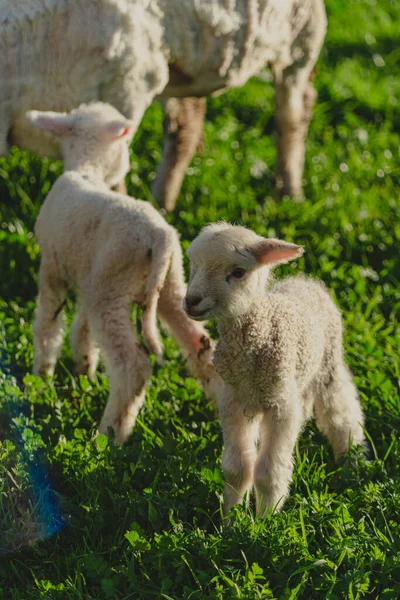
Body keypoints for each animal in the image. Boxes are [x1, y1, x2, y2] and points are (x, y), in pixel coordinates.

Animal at [0, 0, 324, 209]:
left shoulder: (127, 89)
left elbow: (114, 176)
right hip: (185, 61)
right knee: (185, 128)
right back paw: (163, 204)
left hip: (301, 33)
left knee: (294, 111)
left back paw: (290, 192)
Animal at [28, 101, 225, 442]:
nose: (126, 168)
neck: (86, 168)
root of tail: (159, 236)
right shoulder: (89, 276)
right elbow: (82, 328)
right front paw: (84, 370)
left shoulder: (53, 269)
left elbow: (48, 325)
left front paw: (43, 375)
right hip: (170, 285)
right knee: (200, 345)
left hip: (112, 287)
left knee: (133, 367)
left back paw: (111, 434)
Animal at [184, 223, 366, 516]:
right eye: (194, 265)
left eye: (238, 272)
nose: (191, 300)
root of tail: (307, 281)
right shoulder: (233, 400)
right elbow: (237, 469)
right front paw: (231, 519)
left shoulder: (280, 406)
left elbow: (267, 472)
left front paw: (266, 520)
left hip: (327, 365)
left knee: (342, 414)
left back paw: (352, 460)